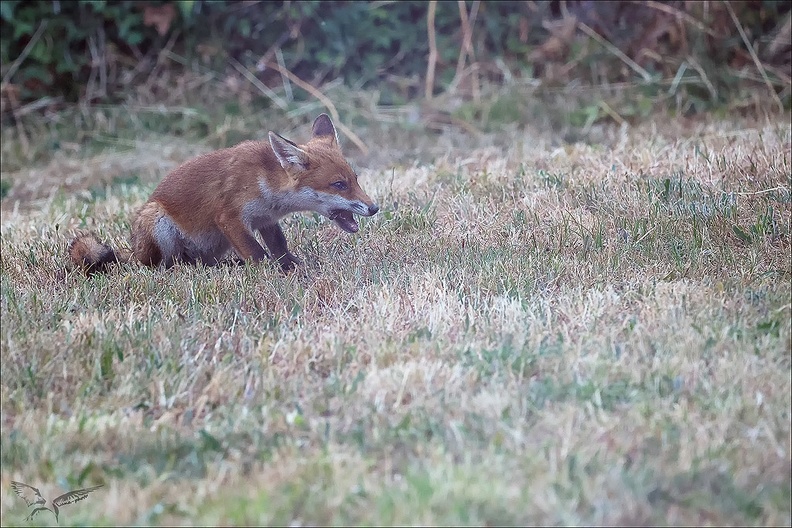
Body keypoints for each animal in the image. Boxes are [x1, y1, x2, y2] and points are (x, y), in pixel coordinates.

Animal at [67, 113, 378, 274]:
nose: (374, 208)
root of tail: (134, 252)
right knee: (162, 266)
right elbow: (257, 253)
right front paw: (271, 274)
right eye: (339, 185)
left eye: (355, 179)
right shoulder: (229, 218)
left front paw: (290, 267)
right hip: (158, 224)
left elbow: (279, 248)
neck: (266, 185)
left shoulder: (266, 220)